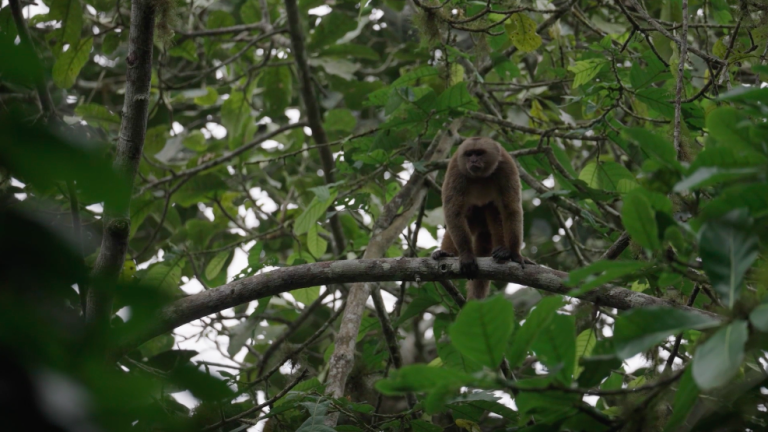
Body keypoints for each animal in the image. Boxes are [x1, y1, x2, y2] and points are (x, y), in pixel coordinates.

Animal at [428, 137, 532, 298]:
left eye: (479, 153)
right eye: (469, 154)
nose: (473, 160)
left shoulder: (506, 166)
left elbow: (511, 209)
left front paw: (515, 254)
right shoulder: (456, 168)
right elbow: (453, 211)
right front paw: (466, 255)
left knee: (493, 210)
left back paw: (503, 251)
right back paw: (445, 253)